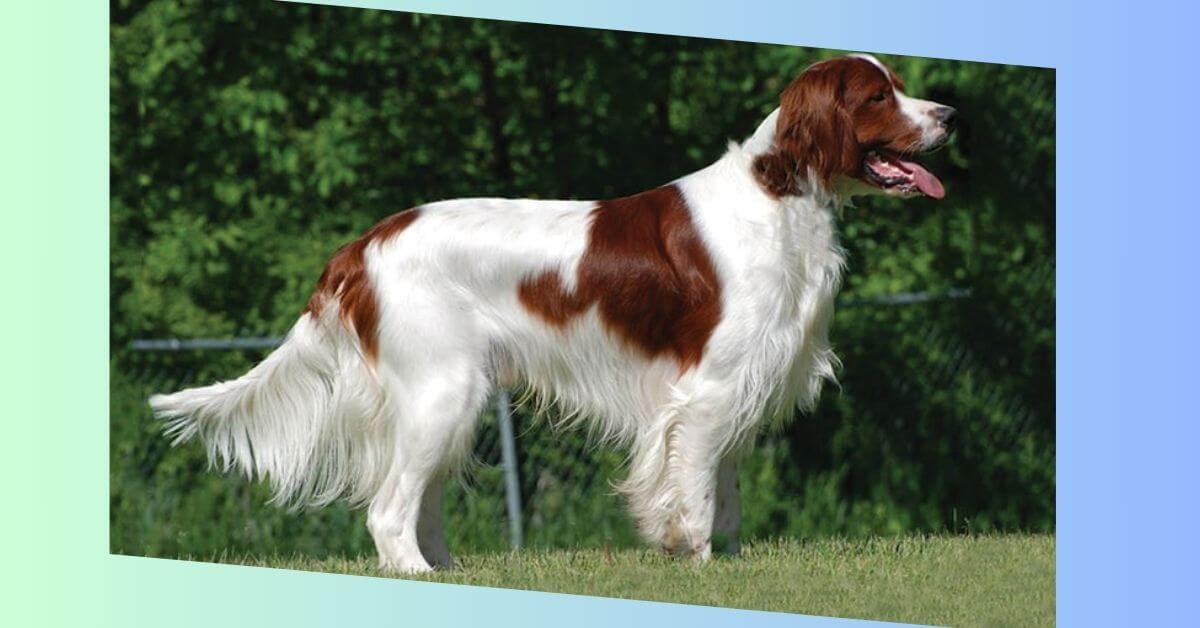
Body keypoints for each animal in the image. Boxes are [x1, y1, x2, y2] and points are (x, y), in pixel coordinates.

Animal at [150, 54, 955, 573]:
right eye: (878, 96)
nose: (949, 113)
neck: (779, 193)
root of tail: (361, 246)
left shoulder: (740, 388)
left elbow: (723, 491)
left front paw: (727, 560)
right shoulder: (707, 390)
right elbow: (695, 491)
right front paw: (695, 561)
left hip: (451, 399)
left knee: (422, 501)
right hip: (442, 392)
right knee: (388, 508)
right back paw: (417, 573)